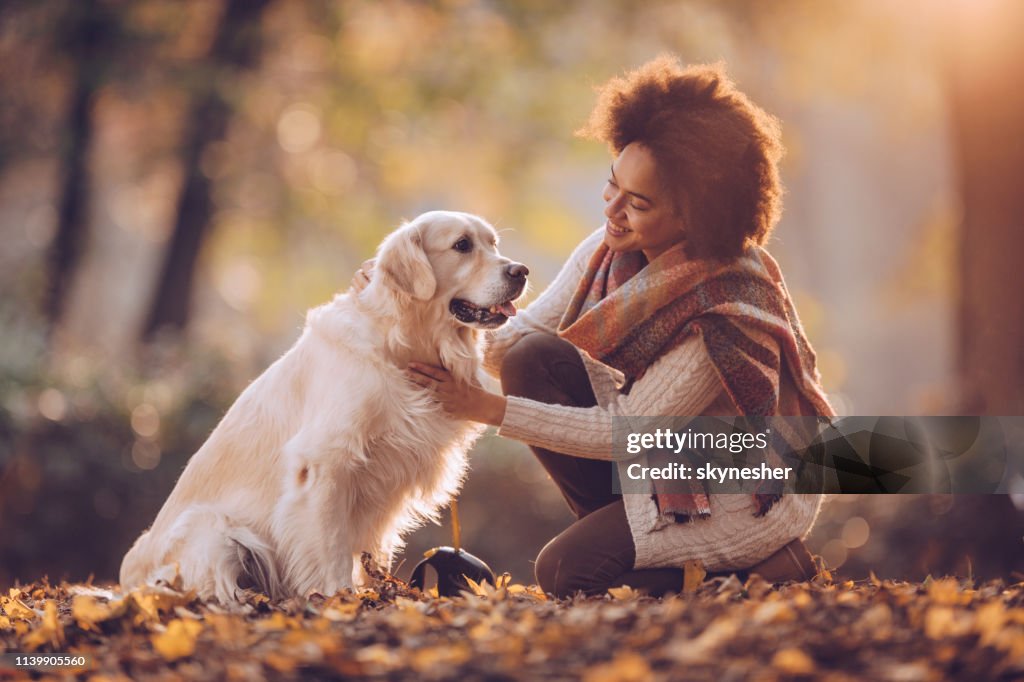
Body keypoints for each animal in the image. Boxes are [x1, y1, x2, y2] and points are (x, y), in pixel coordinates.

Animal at [119, 209, 528, 598]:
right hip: (213, 530)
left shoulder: (390, 472)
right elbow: (332, 545)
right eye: (462, 245)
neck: (399, 345)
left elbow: (376, 548)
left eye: (492, 243)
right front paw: (340, 596)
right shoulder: (326, 463)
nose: (521, 271)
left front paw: (382, 592)